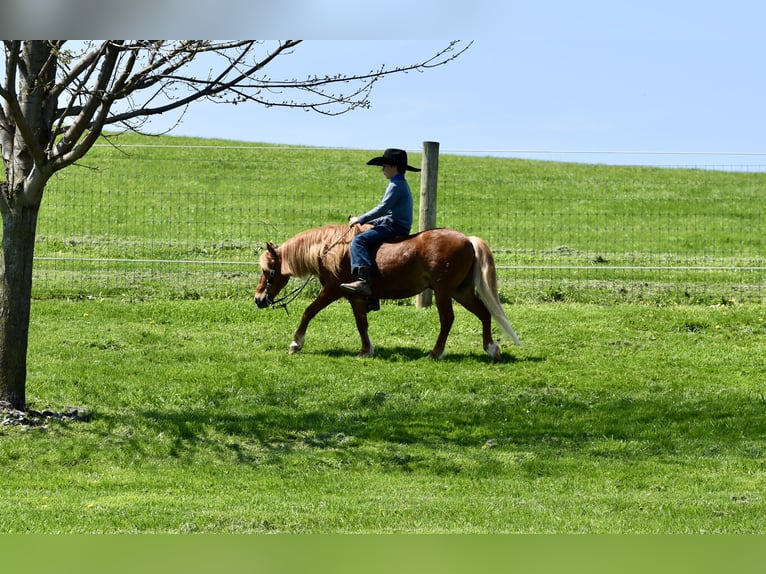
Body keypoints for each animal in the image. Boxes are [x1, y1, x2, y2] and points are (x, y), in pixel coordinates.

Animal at [254, 223, 521, 360]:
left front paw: (296, 343)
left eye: (268, 271)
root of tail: (467, 240)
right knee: (484, 313)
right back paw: (491, 349)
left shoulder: (331, 291)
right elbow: (361, 323)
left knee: (447, 319)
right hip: (460, 291)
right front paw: (366, 350)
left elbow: (308, 312)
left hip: (444, 291)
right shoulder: (354, 296)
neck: (330, 250)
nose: (258, 299)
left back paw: (436, 353)